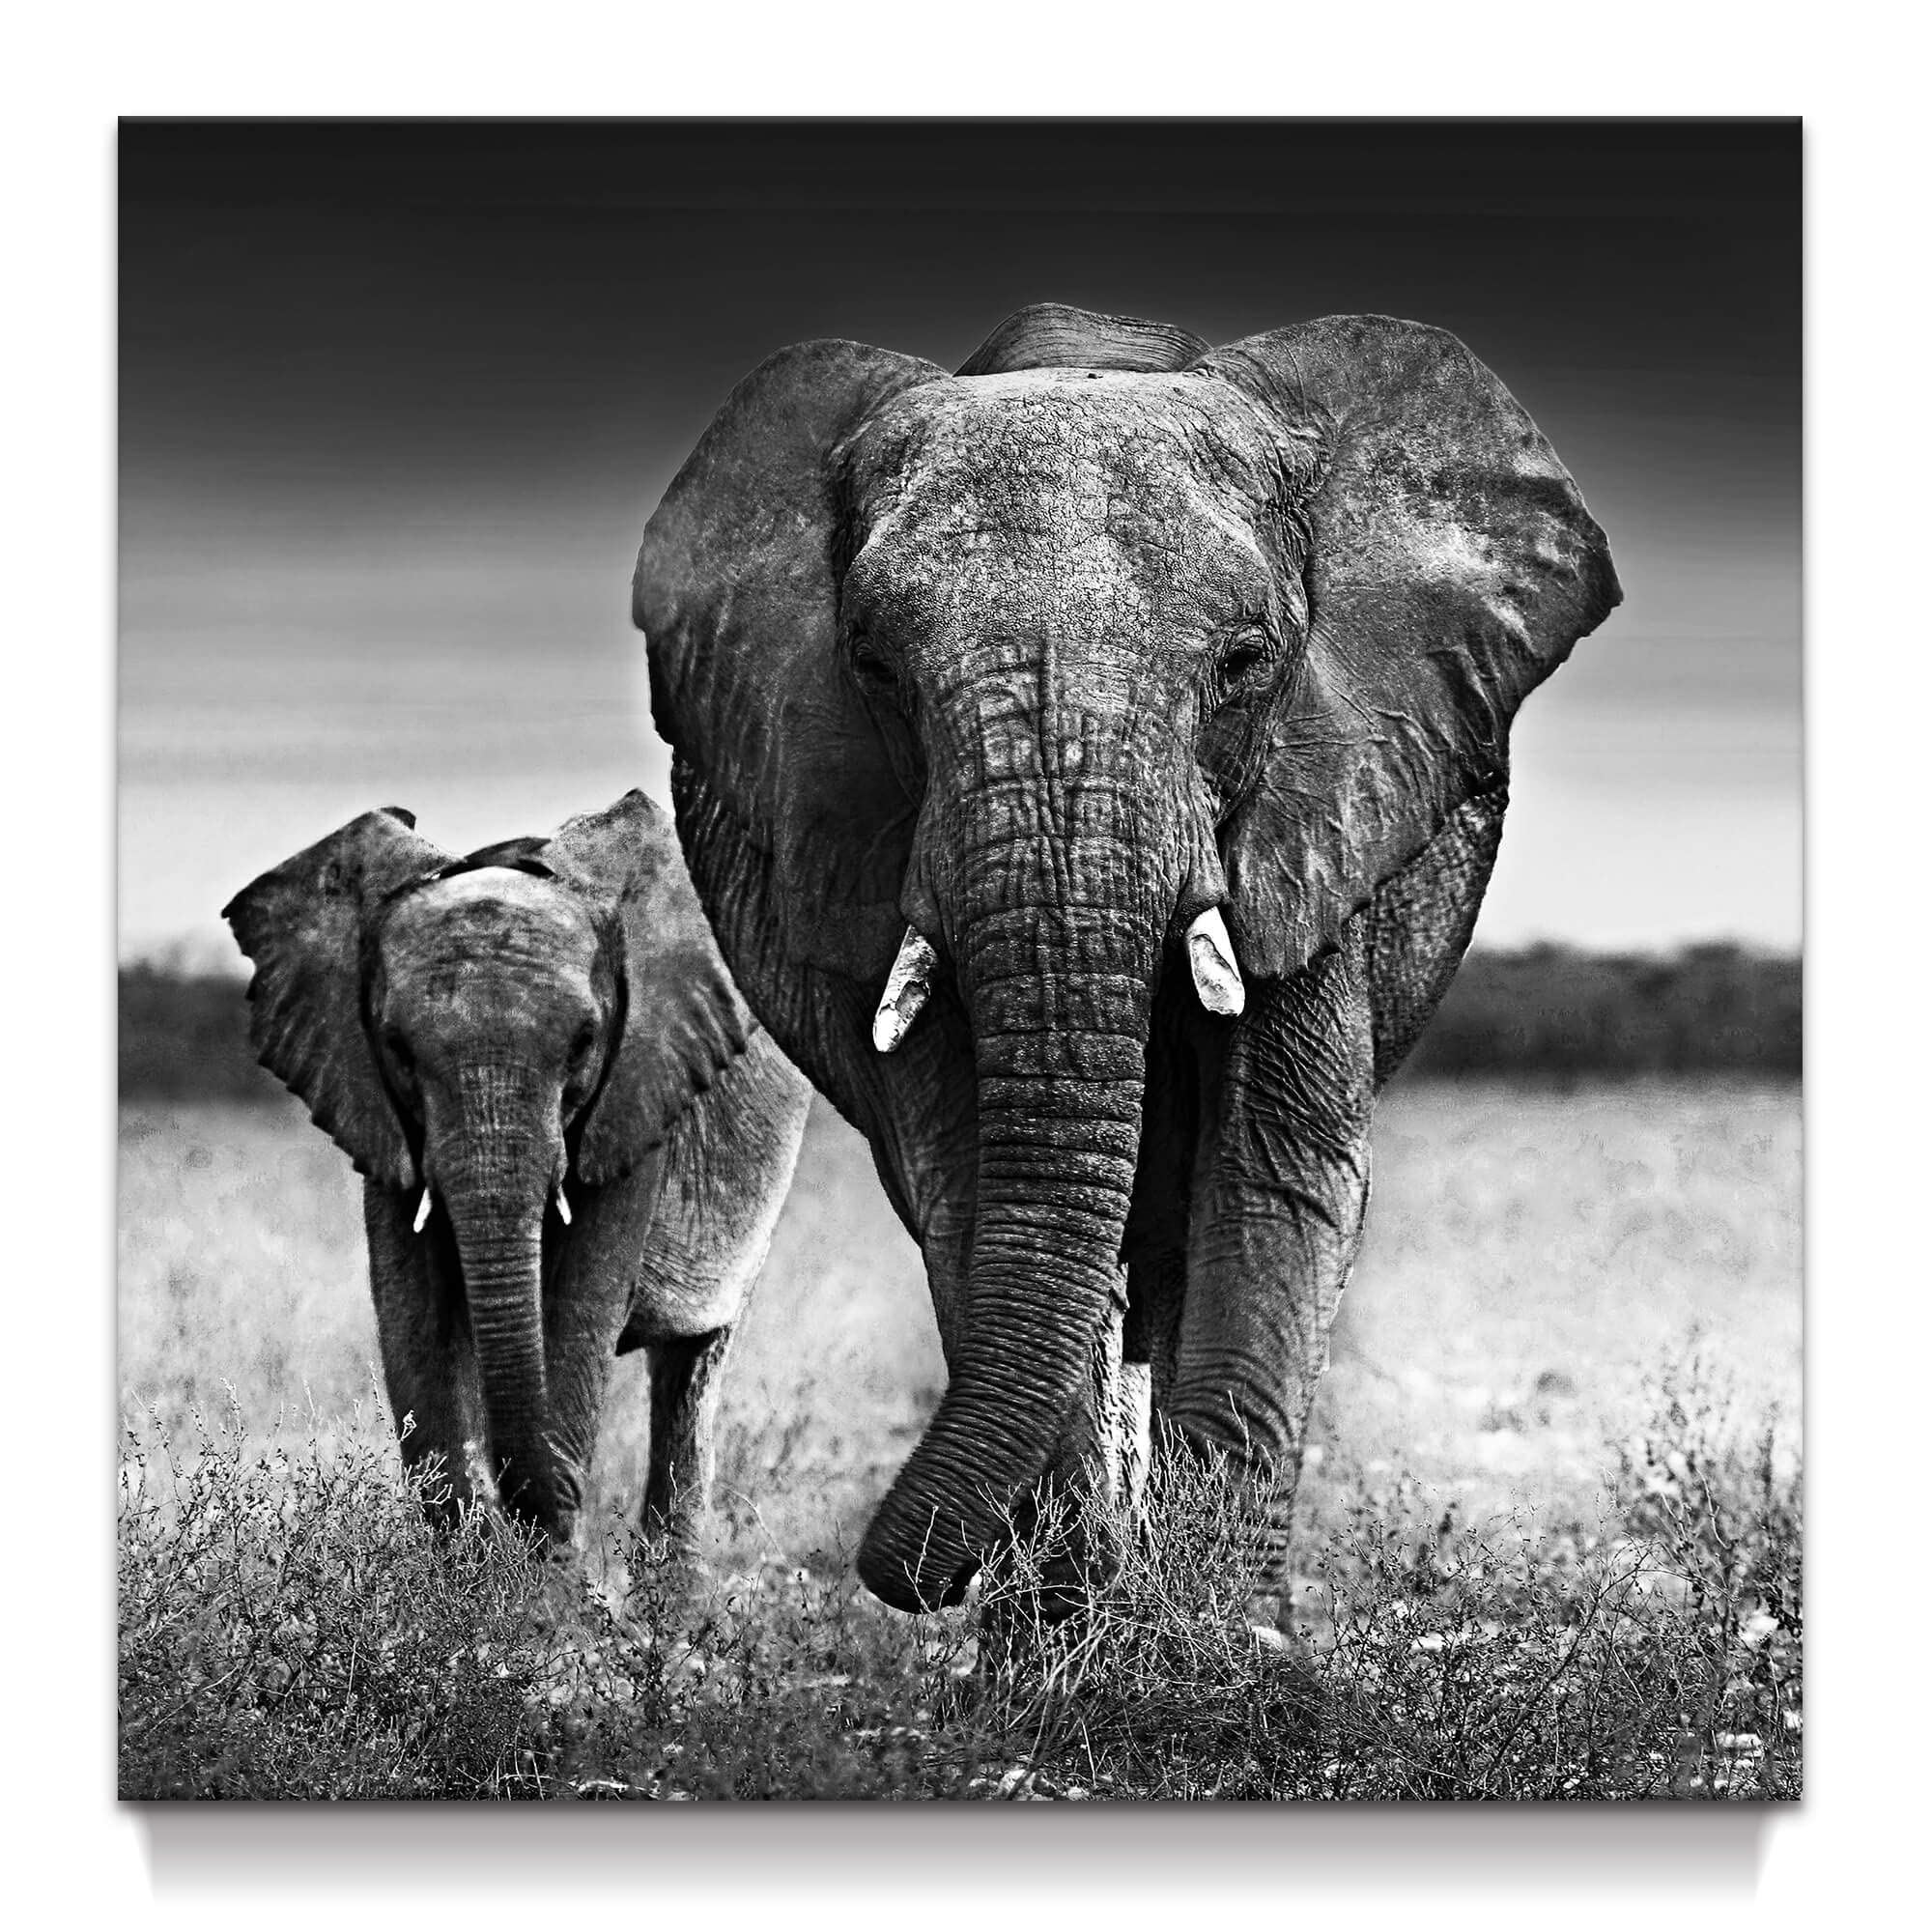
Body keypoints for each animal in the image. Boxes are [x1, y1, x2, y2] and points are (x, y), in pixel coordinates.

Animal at [222, 789, 813, 1565]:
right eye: (397, 1048)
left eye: (587, 1042)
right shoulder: (382, 1118)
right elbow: (417, 1325)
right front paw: (476, 1580)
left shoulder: (637, 1097)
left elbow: (575, 1316)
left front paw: (544, 1588)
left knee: (692, 1368)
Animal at [633, 302, 1620, 1623]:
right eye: (875, 669)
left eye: (1244, 663)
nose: (899, 1575)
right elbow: (966, 1185)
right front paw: (1067, 1638)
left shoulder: (1323, 800)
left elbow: (1272, 1174)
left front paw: (1210, 1646)